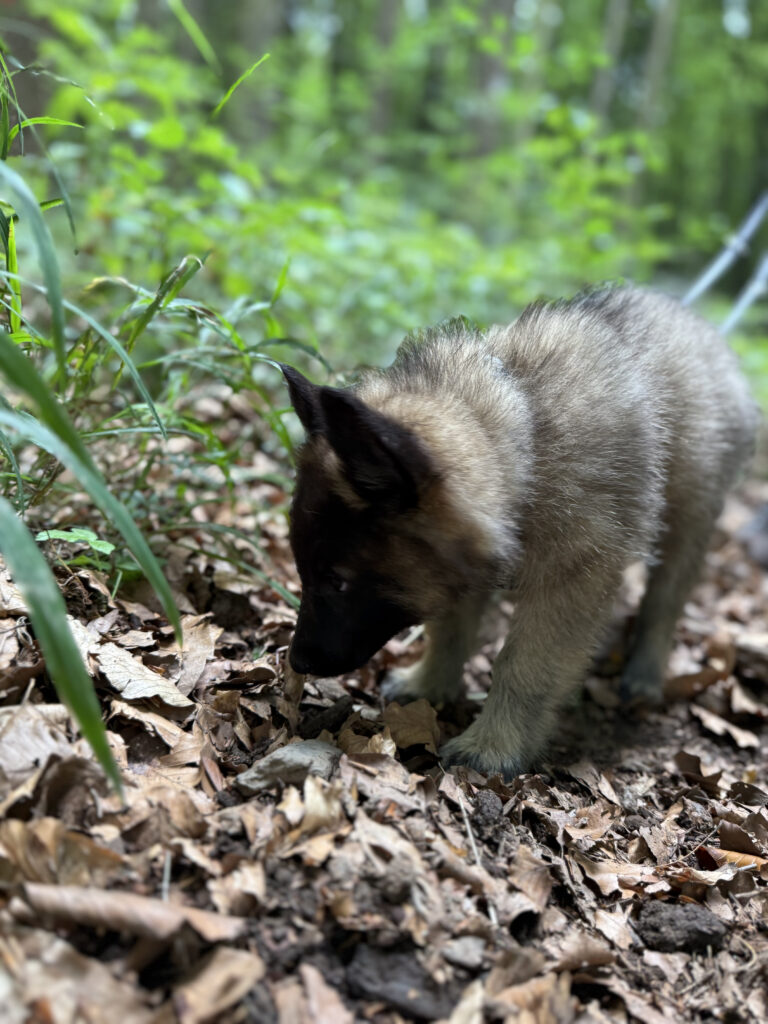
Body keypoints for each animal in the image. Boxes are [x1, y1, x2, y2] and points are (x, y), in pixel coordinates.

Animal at [281, 286, 758, 777]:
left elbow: (523, 665)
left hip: (691, 518)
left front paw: (494, 746)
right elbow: (449, 629)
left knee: (665, 601)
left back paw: (644, 674)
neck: (530, 433)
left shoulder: (571, 581)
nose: (296, 660)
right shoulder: (466, 560)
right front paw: (430, 684)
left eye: (337, 582)